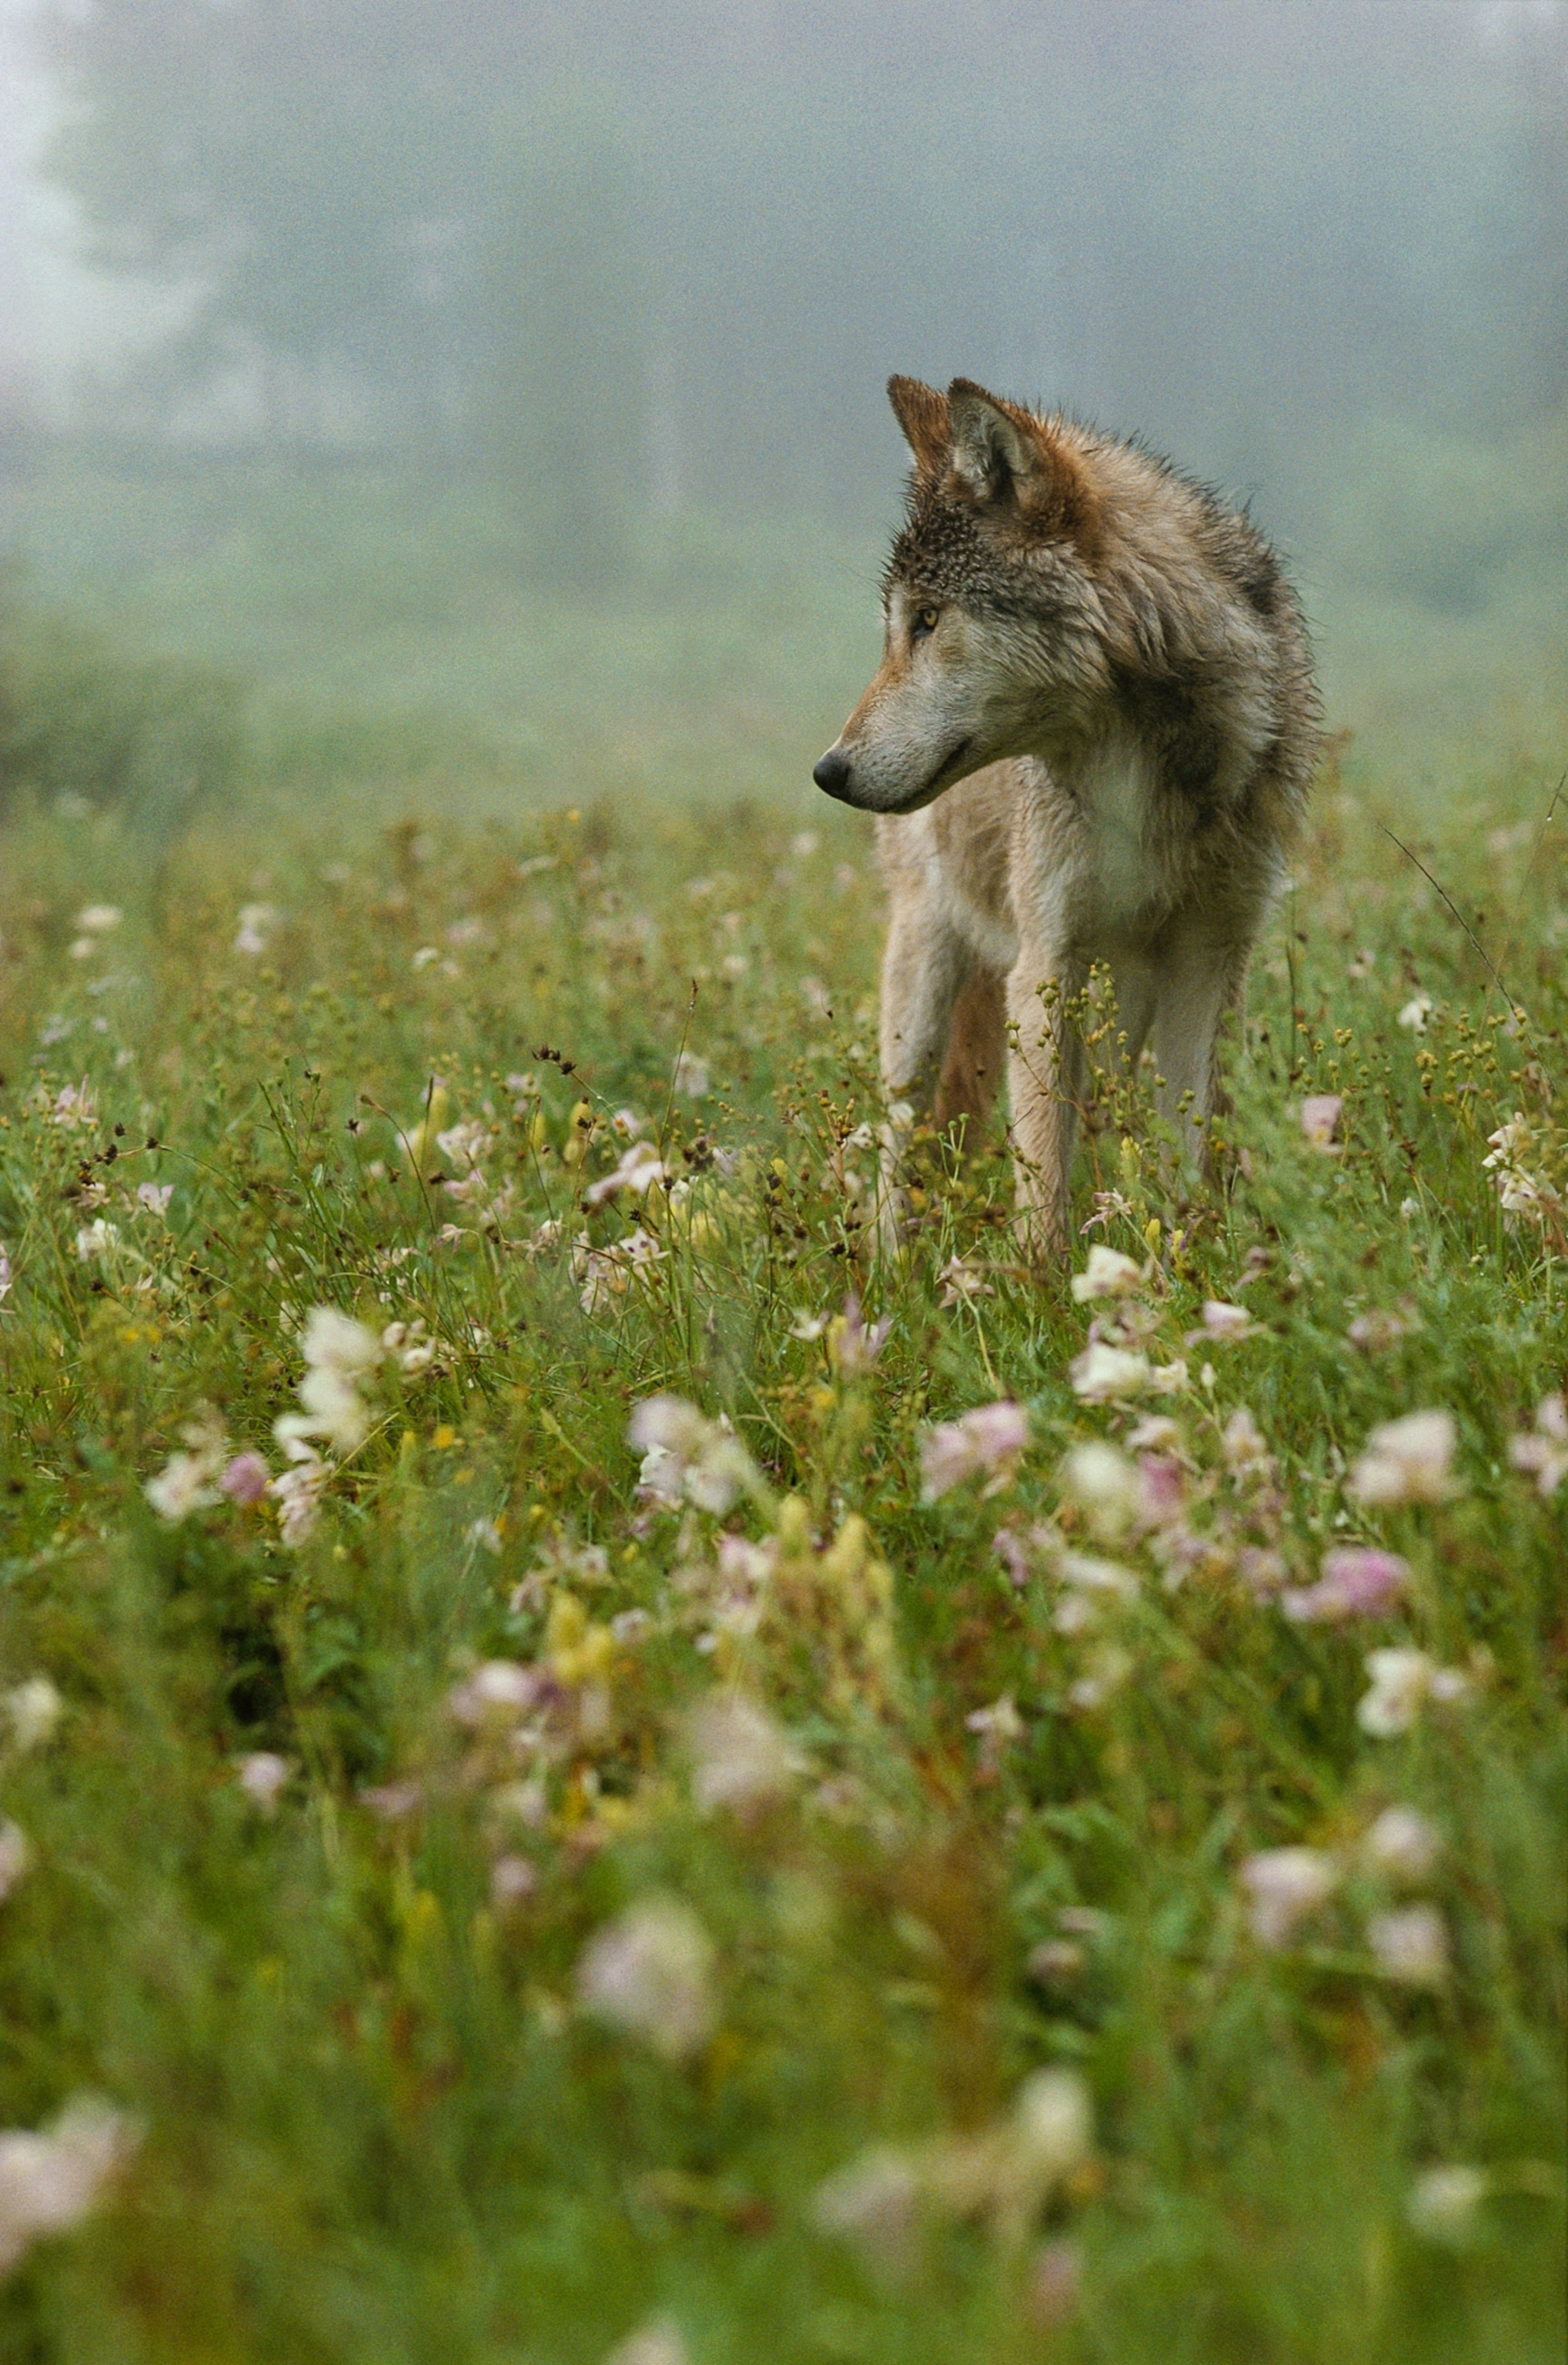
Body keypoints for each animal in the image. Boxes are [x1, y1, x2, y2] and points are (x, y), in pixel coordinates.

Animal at [813, 373, 1315, 1258]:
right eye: (896, 628)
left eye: (929, 620)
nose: (828, 770)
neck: (1145, 770)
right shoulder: (1046, 962)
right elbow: (1041, 1179)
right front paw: (1041, 1288)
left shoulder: (1210, 957)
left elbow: (1194, 1160)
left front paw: (1197, 1271)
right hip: (925, 985)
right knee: (897, 1140)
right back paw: (891, 1267)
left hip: (1122, 1005)